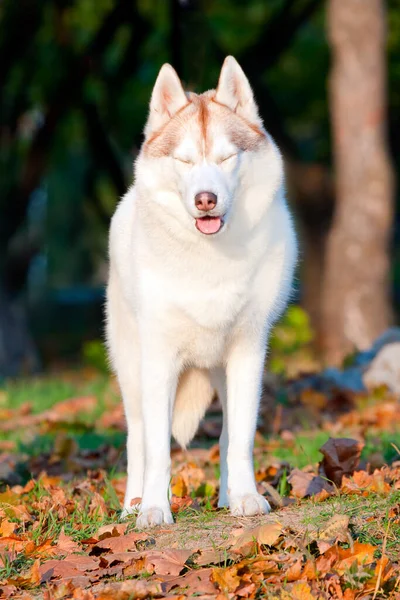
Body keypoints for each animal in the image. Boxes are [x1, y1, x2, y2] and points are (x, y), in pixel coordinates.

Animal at [105, 55, 296, 524]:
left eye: (226, 157)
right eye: (185, 160)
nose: (205, 199)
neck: (209, 258)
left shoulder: (248, 353)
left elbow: (240, 439)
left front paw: (246, 497)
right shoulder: (158, 361)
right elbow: (157, 449)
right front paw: (154, 510)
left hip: (221, 374)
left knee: (226, 437)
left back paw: (228, 496)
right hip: (132, 370)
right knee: (138, 439)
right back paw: (131, 507)